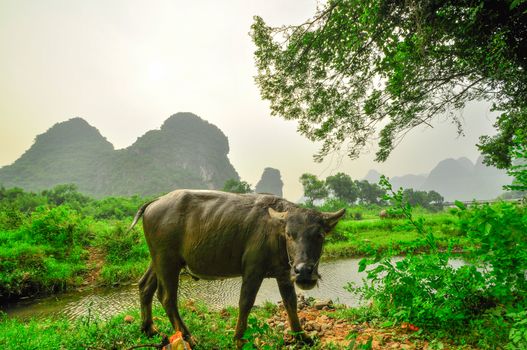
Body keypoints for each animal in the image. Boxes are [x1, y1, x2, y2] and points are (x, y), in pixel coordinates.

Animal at [130, 190, 346, 348]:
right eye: (289, 234)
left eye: (319, 235)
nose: (304, 272)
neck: (274, 233)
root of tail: (155, 201)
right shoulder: (253, 270)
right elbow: (246, 302)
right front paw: (238, 339)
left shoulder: (285, 273)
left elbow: (290, 302)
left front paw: (301, 336)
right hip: (167, 262)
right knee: (167, 298)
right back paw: (188, 338)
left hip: (158, 260)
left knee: (145, 286)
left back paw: (149, 329)